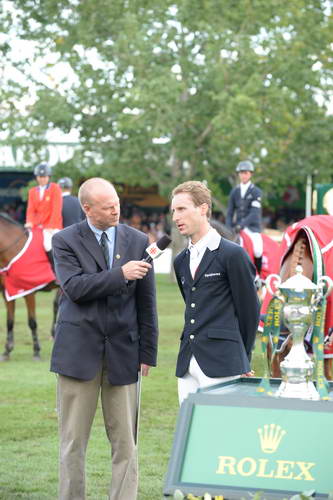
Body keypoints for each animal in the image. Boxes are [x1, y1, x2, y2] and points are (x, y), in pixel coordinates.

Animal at [0, 213, 58, 362]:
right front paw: (7, 351)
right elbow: (9, 321)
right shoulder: (7, 293)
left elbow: (32, 322)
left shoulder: (29, 292)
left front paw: (36, 351)